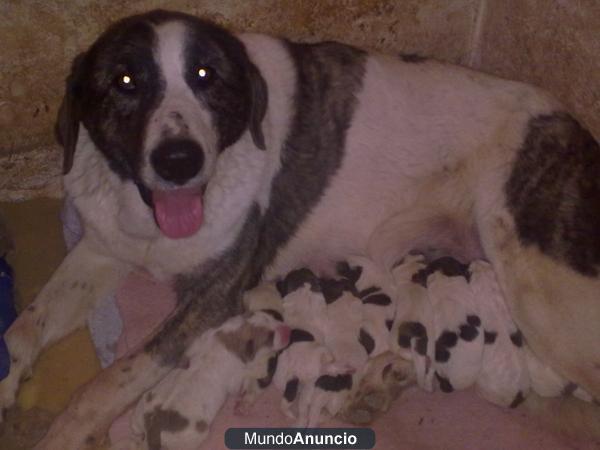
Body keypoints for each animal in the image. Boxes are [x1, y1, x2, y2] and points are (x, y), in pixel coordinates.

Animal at [1, 8, 600, 448]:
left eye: (205, 77)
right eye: (126, 81)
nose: (178, 160)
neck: (144, 215)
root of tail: (573, 127)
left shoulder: (213, 297)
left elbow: (110, 379)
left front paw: (63, 434)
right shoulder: (102, 248)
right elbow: (26, 327)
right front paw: (9, 377)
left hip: (540, 296)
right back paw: (376, 389)